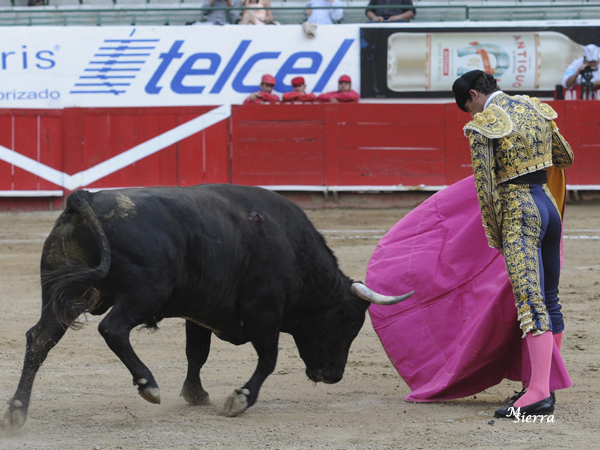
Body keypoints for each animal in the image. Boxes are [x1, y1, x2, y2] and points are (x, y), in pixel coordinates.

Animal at [1, 184, 412, 428]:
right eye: (347, 323)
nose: (333, 376)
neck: (293, 250)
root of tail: (85, 198)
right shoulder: (264, 310)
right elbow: (268, 358)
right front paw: (240, 399)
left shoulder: (199, 312)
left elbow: (196, 352)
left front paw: (196, 394)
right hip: (145, 291)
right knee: (113, 329)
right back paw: (148, 384)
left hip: (61, 295)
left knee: (39, 339)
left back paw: (17, 411)